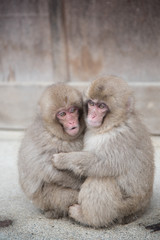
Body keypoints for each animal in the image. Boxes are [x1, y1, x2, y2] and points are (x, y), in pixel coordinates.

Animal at [18, 83, 85, 218]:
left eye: (72, 110)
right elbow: (51, 171)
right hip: (46, 200)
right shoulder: (45, 140)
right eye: (62, 114)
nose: (72, 121)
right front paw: (81, 183)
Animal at [52, 76, 154, 227]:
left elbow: (105, 163)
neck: (113, 125)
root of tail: (141, 207)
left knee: (101, 179)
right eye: (91, 104)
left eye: (101, 106)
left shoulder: (119, 139)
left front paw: (63, 160)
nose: (92, 116)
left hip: (123, 206)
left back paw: (86, 217)